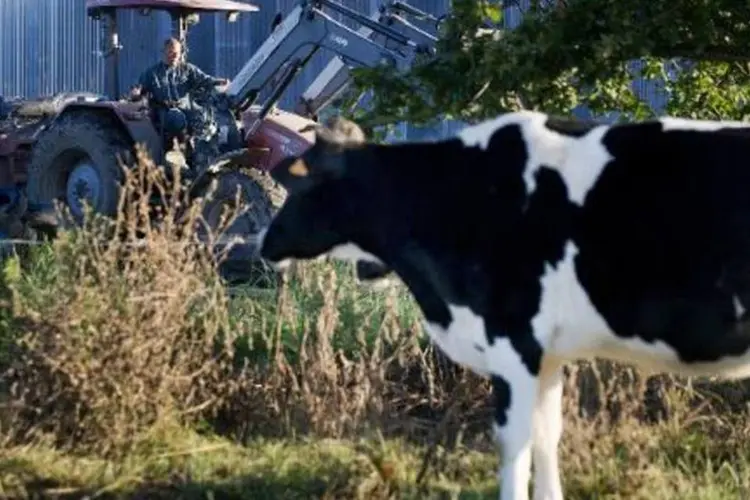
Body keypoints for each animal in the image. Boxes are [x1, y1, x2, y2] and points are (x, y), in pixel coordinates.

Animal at [258, 110, 750, 500]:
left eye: (301, 185)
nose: (265, 242)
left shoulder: (512, 341)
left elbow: (515, 443)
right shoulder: (548, 355)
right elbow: (547, 435)